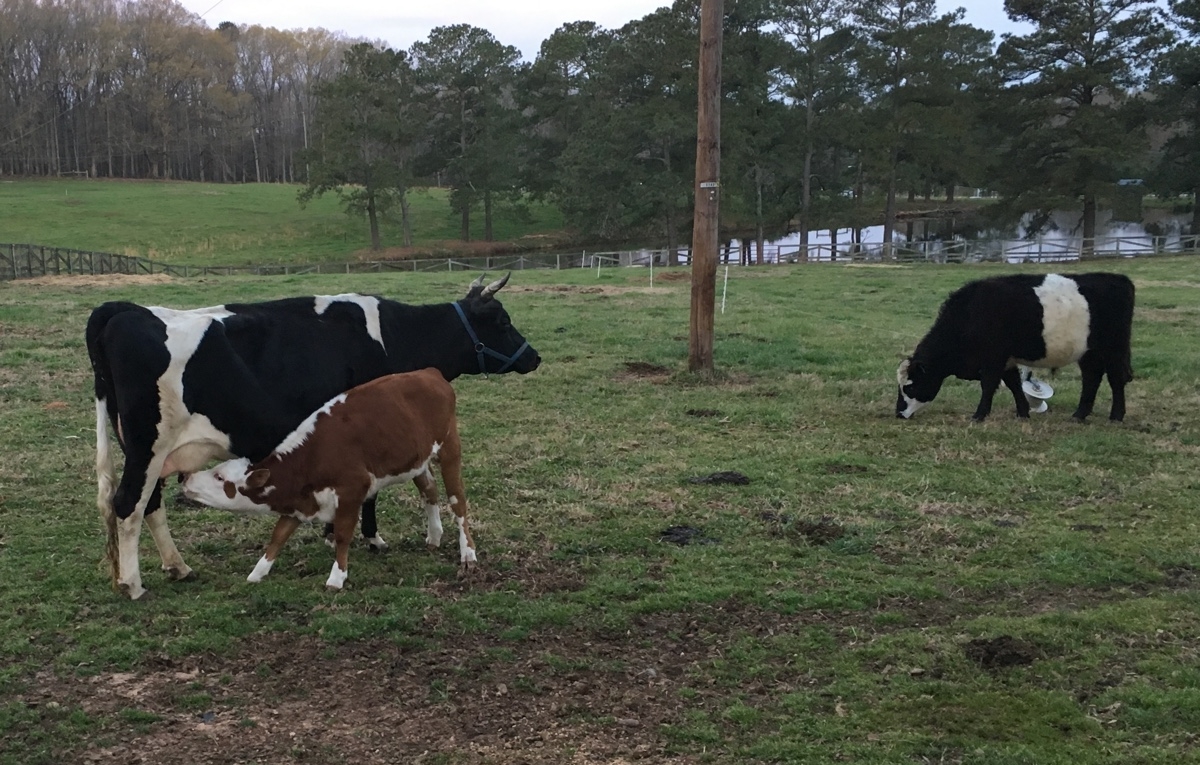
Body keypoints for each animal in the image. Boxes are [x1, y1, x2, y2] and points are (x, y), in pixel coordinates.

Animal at [182, 369, 472, 589]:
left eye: (219, 476)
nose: (184, 477)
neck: (311, 459)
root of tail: (430, 373)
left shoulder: (352, 491)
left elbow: (342, 535)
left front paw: (337, 577)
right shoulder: (299, 502)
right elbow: (278, 535)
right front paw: (258, 572)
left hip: (450, 450)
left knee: (458, 502)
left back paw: (468, 553)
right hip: (417, 462)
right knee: (429, 491)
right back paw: (434, 537)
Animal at [902, 273, 1132, 422]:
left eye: (910, 387)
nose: (899, 413)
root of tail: (1119, 279)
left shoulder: (993, 358)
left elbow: (989, 385)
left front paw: (978, 415)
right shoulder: (1006, 360)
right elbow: (1014, 384)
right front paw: (1023, 413)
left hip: (1113, 350)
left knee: (1115, 379)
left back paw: (1116, 416)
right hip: (1089, 353)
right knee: (1092, 378)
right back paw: (1079, 415)